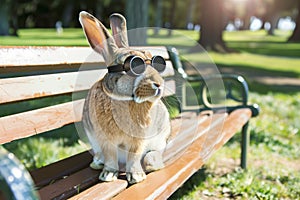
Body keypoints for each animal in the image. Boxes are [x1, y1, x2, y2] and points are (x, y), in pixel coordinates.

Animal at [79, 11, 171, 184]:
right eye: (133, 65)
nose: (159, 84)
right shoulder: (106, 140)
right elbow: (110, 156)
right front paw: (108, 176)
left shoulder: (138, 140)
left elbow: (134, 156)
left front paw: (137, 177)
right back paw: (97, 163)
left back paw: (152, 164)